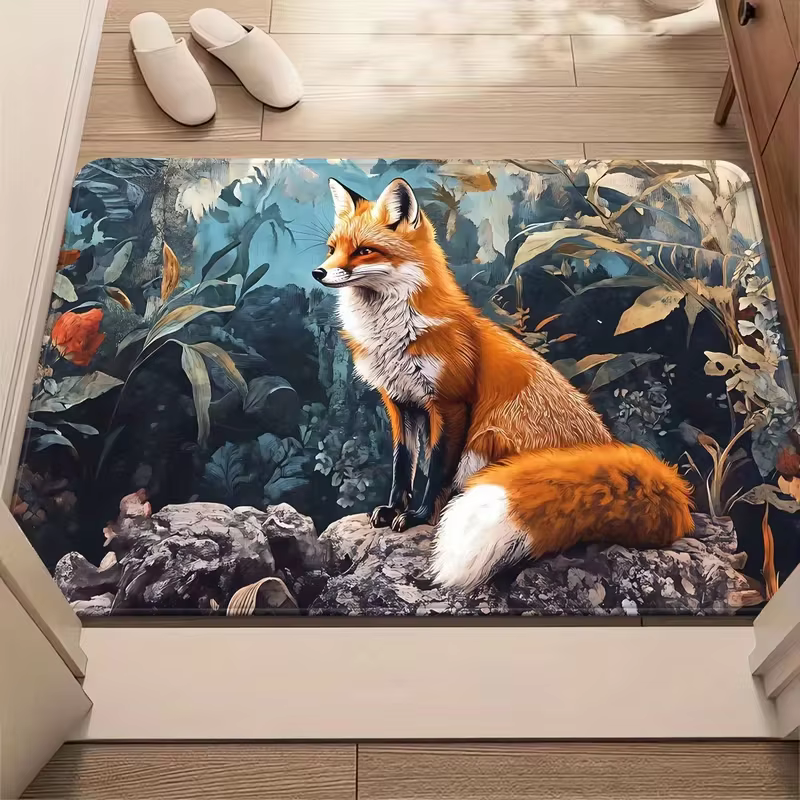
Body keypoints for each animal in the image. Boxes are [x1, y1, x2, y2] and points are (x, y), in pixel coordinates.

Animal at [312, 176, 694, 591]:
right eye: (332, 249)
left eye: (364, 251)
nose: (318, 272)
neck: (397, 332)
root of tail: (608, 450)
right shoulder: (400, 402)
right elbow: (402, 465)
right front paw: (393, 508)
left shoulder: (450, 403)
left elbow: (435, 468)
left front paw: (418, 516)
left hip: (488, 437)